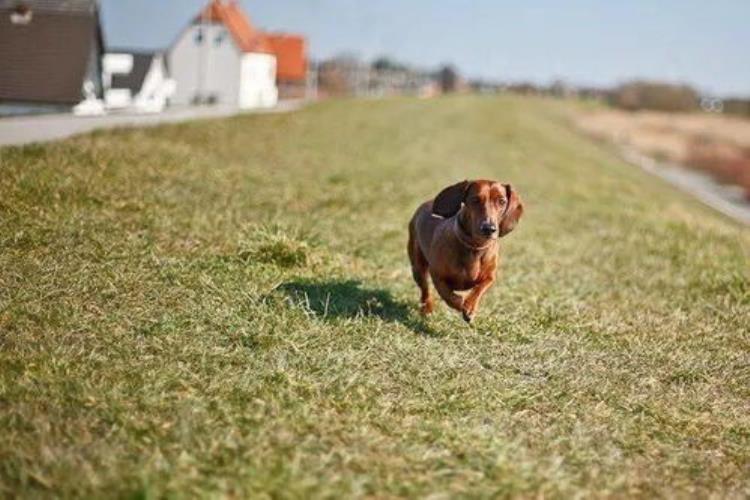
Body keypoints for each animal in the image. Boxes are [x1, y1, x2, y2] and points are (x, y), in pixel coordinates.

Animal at [408, 180, 524, 324]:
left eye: (502, 201)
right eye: (475, 199)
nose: (489, 228)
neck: (474, 247)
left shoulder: (490, 277)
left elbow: (478, 290)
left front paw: (470, 307)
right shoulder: (437, 276)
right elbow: (448, 295)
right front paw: (461, 305)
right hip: (418, 267)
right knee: (425, 290)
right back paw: (427, 308)